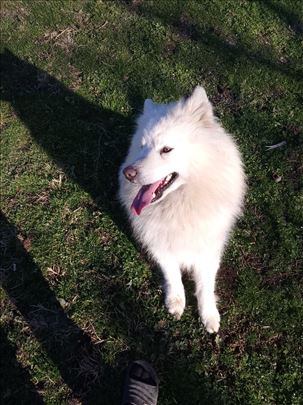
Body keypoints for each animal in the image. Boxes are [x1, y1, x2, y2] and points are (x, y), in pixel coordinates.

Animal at [119, 85, 247, 332]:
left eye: (167, 149)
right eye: (142, 146)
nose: (128, 173)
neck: (180, 204)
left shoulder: (208, 248)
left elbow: (205, 285)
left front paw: (209, 316)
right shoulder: (160, 244)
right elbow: (172, 274)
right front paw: (176, 302)